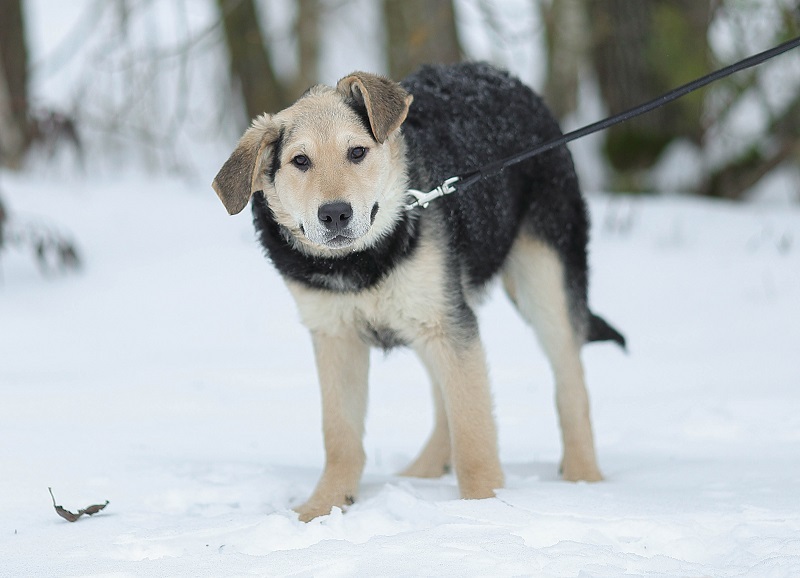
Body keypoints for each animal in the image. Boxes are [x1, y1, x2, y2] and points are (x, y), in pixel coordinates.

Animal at [212, 60, 624, 520]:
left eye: (357, 152)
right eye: (300, 161)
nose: (335, 214)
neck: (360, 262)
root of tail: (500, 74)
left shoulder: (447, 324)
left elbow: (473, 430)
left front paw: (483, 509)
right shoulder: (336, 335)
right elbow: (340, 434)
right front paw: (323, 508)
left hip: (542, 281)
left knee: (570, 382)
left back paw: (583, 478)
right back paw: (424, 471)